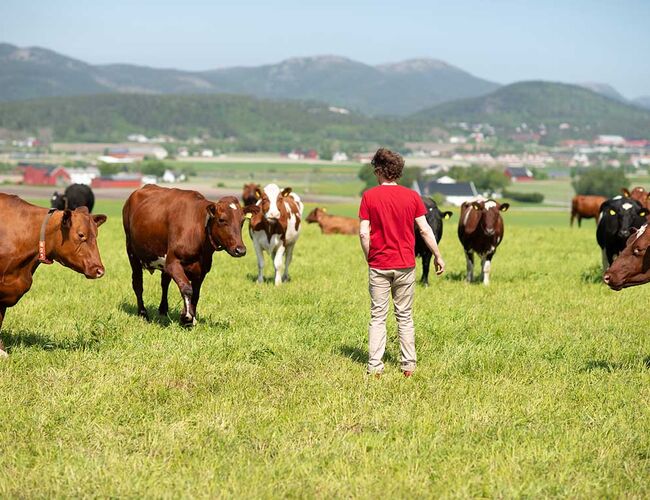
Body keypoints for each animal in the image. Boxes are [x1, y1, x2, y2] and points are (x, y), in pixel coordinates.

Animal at [121, 186, 246, 326]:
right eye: (222, 219)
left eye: (242, 221)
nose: (240, 250)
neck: (198, 228)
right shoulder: (173, 263)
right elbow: (186, 288)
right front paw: (186, 317)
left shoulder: (202, 270)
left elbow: (196, 294)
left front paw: (192, 317)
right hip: (132, 253)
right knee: (138, 283)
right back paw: (143, 313)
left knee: (164, 283)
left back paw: (163, 309)